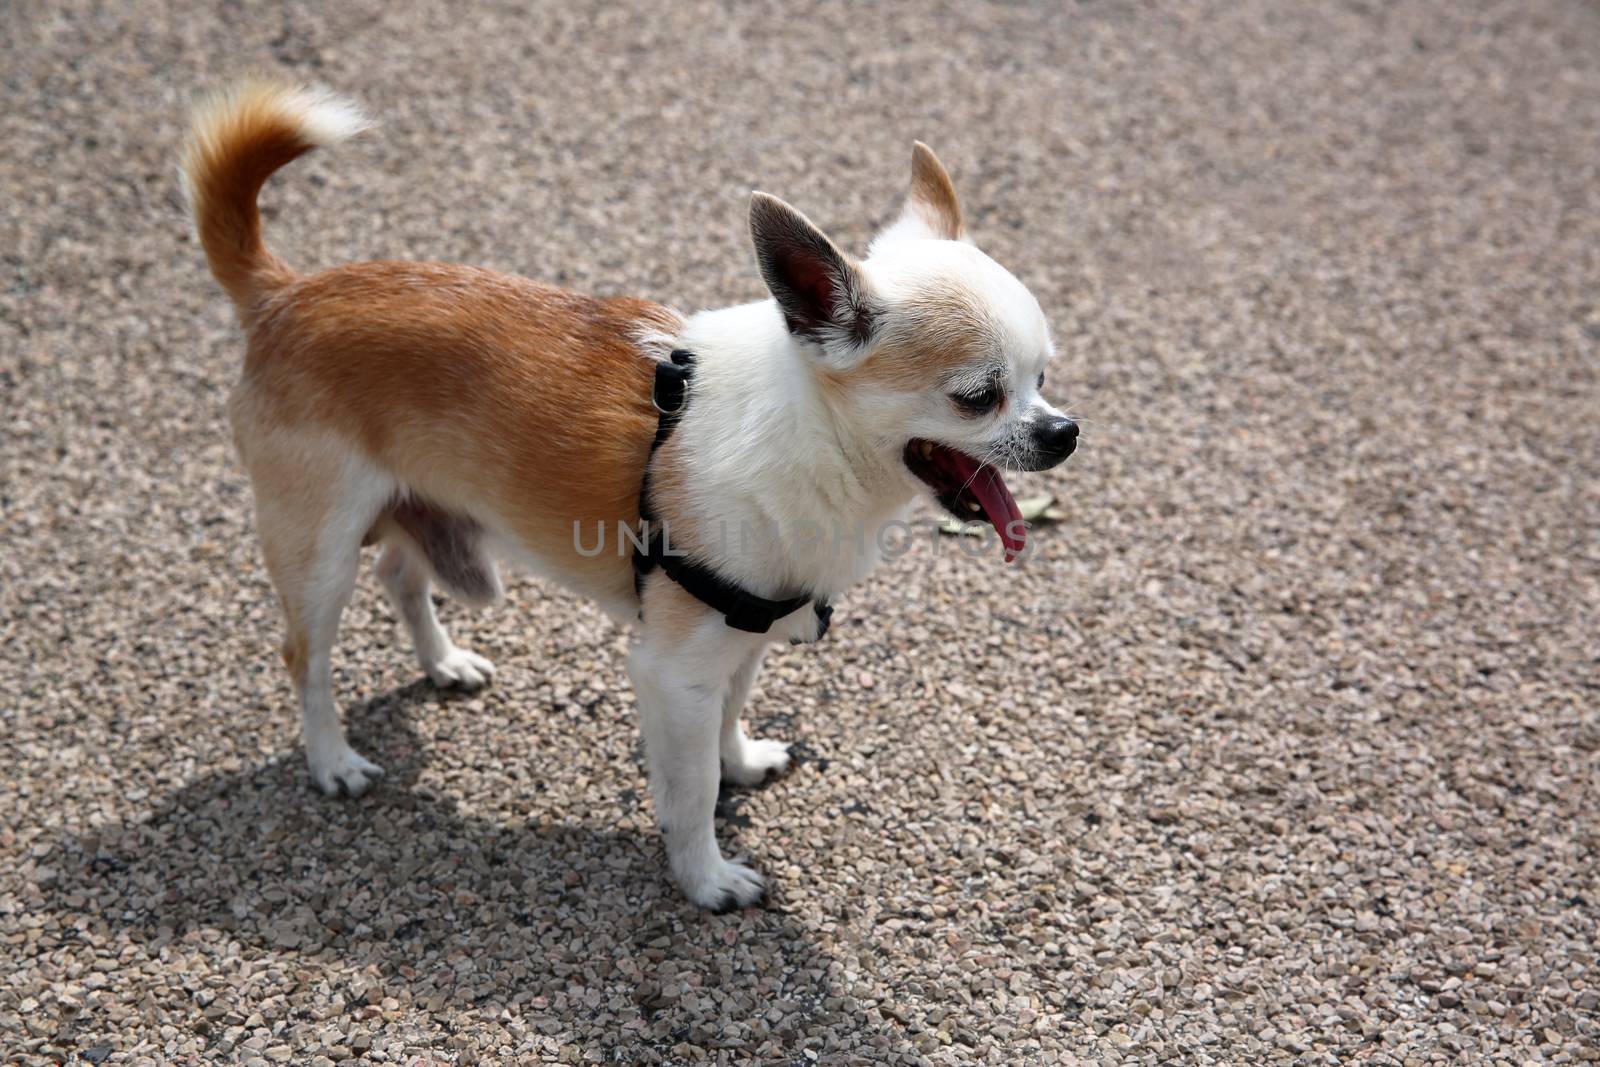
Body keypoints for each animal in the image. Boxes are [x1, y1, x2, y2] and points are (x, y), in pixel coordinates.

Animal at [184, 81, 1075, 908]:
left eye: (1044, 376)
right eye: (977, 397)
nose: (1065, 431)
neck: (811, 435)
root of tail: (282, 293)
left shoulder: (741, 635)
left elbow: (730, 714)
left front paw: (741, 759)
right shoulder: (672, 670)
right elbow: (690, 790)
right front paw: (706, 877)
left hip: (417, 507)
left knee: (400, 574)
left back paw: (443, 662)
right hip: (319, 545)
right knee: (306, 656)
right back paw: (333, 760)